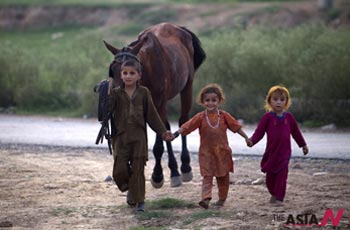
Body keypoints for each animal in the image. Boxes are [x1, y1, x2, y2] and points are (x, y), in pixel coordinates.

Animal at [104, 22, 208, 187]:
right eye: (112, 71)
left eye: (130, 70)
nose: (120, 92)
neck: (148, 70)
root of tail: (180, 29)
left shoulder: (159, 102)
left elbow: (159, 144)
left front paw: (158, 174)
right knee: (165, 126)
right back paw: (174, 169)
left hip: (187, 86)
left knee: (183, 120)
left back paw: (184, 167)